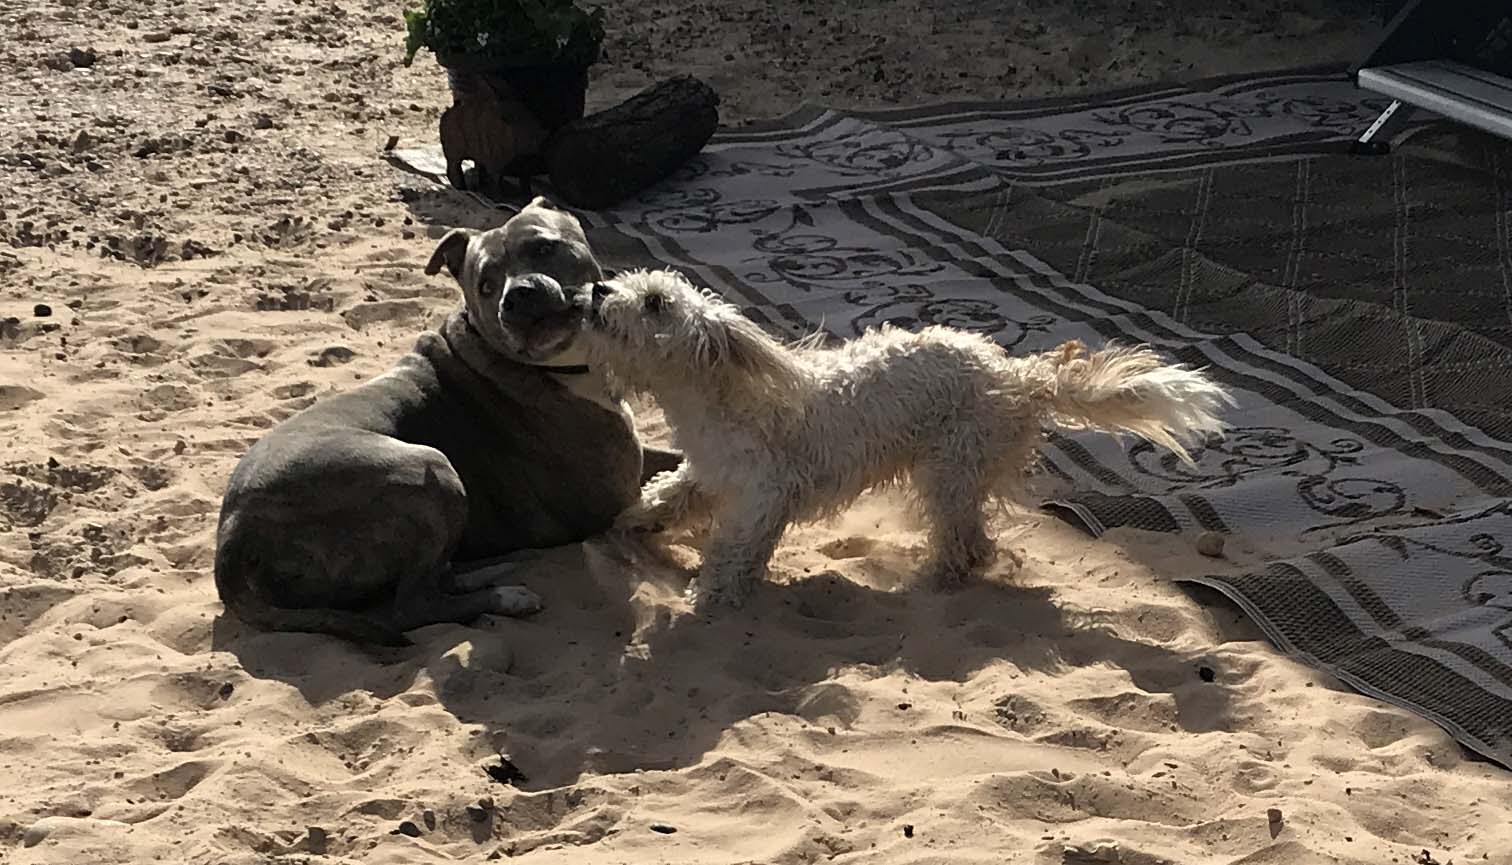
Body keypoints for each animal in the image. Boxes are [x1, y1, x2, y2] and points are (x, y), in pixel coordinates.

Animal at [214, 198, 681, 645]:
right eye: (486, 285)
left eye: (543, 248)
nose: (517, 297)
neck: (559, 368)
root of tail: (234, 532)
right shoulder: (617, 500)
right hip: (426, 470)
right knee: (411, 605)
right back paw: (504, 597)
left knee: (436, 579)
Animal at [580, 268, 1234, 609]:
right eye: (633, 283)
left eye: (655, 302)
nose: (597, 289)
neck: (724, 396)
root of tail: (1018, 376)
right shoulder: (711, 471)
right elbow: (670, 495)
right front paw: (634, 522)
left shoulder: (763, 494)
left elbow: (734, 550)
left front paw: (710, 597)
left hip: (949, 468)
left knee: (969, 546)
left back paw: (929, 583)